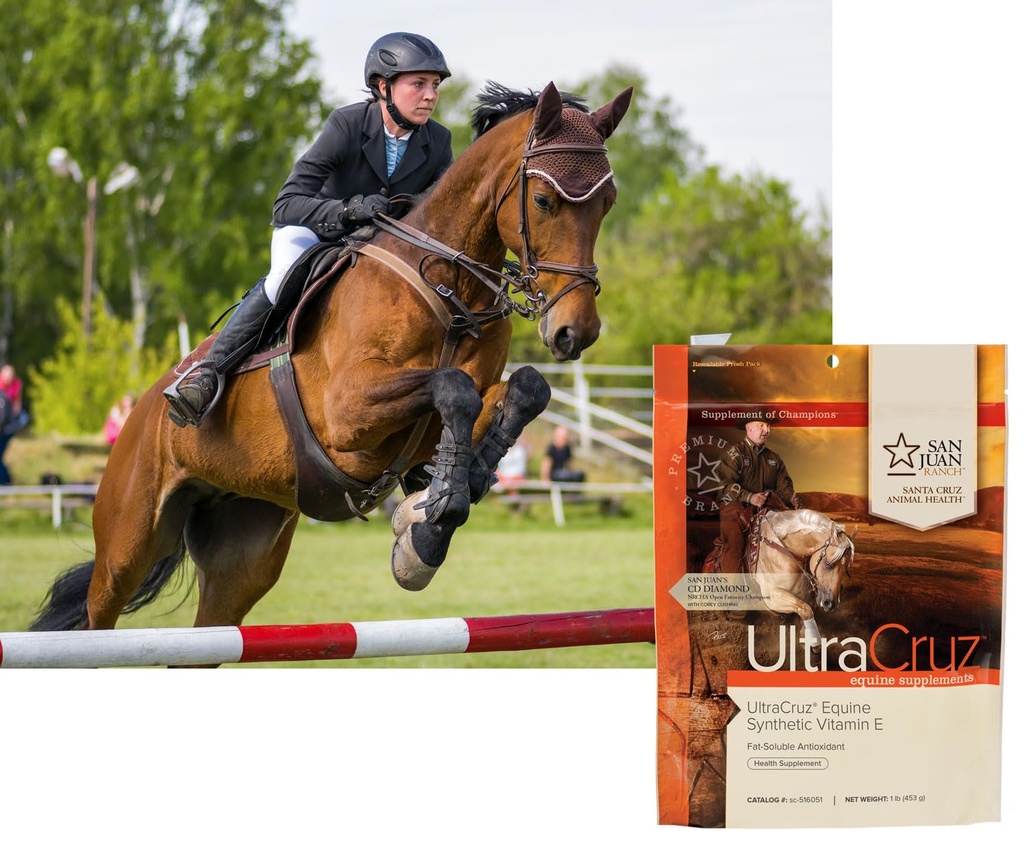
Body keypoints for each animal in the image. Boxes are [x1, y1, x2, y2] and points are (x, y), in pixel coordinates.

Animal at [30, 81, 633, 637]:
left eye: (607, 204)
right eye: (544, 201)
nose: (575, 332)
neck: (449, 287)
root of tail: (145, 406)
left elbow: (524, 390)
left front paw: (442, 502)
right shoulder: (348, 413)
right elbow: (453, 388)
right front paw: (432, 522)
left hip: (241, 555)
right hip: (127, 544)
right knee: (99, 613)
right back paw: (195, 388)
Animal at [748, 508, 856, 654]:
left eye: (846, 568)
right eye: (829, 564)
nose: (831, 604)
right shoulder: (771, 597)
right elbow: (805, 609)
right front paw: (815, 644)